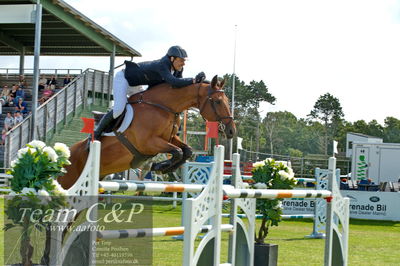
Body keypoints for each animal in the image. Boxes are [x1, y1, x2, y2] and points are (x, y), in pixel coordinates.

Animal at [57, 75, 236, 189]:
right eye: (218, 101)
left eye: (227, 100)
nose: (231, 131)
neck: (163, 107)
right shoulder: (148, 143)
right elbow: (177, 152)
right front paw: (160, 166)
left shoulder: (170, 137)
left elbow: (186, 150)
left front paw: (164, 167)